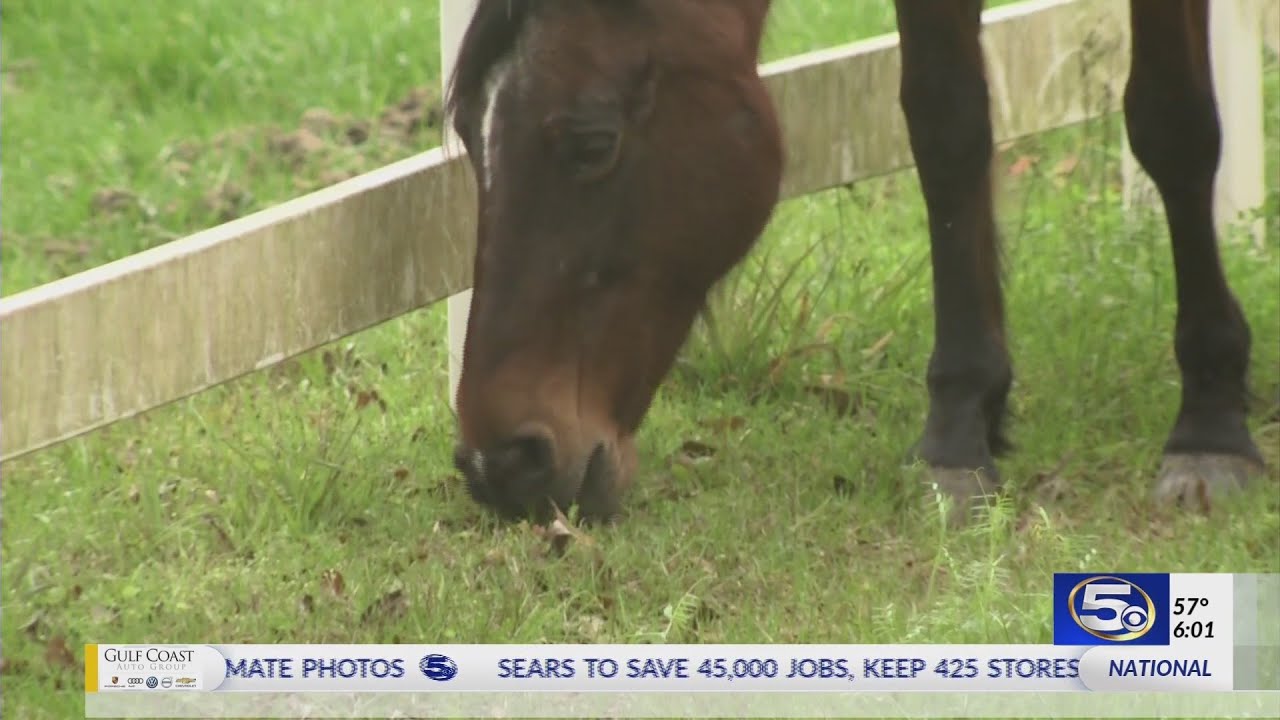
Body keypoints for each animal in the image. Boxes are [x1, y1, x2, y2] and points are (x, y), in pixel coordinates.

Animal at [443, 0, 1265, 526]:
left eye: (592, 142)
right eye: (467, 139)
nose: (501, 463)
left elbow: (1171, 121)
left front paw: (1211, 424)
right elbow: (947, 123)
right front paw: (959, 429)